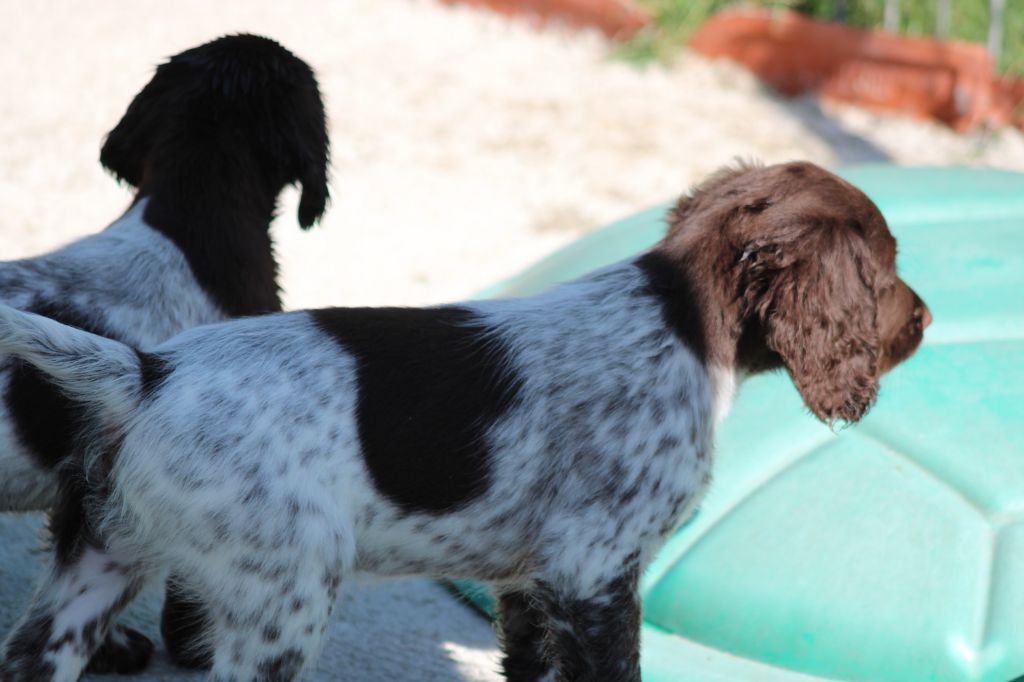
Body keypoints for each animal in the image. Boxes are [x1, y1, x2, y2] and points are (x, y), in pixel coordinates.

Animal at [0, 161, 929, 675]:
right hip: (282, 596)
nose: (924, 319)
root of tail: (149, 373)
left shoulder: (527, 582)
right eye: (883, 268)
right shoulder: (595, 573)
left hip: (96, 569)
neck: (679, 316)